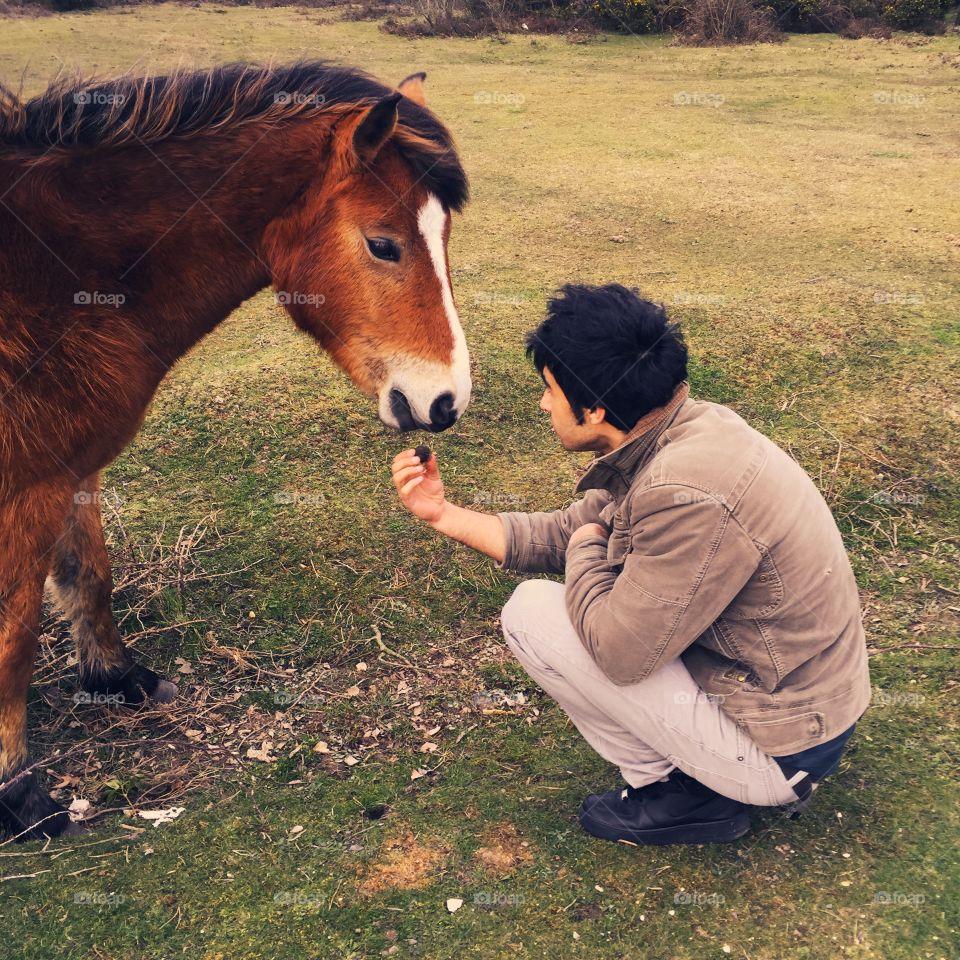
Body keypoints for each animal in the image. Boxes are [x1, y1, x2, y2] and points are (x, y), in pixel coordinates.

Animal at [0, 61, 470, 840]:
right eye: (383, 244)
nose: (448, 400)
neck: (58, 274)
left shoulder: (68, 465)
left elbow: (87, 573)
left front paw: (116, 677)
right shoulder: (27, 484)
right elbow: (14, 636)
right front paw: (19, 794)